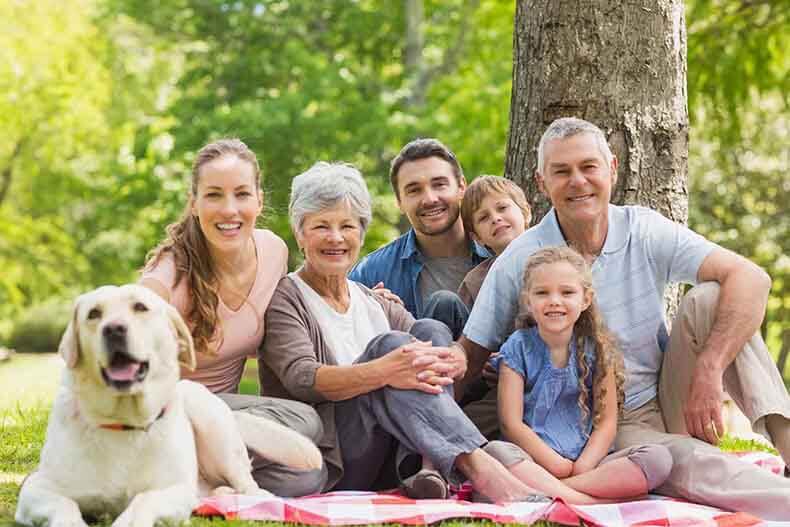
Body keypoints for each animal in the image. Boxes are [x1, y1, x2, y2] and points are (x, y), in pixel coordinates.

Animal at [14, 286, 322, 527]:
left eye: (140, 307)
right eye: (93, 314)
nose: (114, 329)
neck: (123, 421)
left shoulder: (174, 489)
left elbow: (143, 501)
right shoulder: (36, 489)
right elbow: (64, 507)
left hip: (210, 421)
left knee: (249, 485)